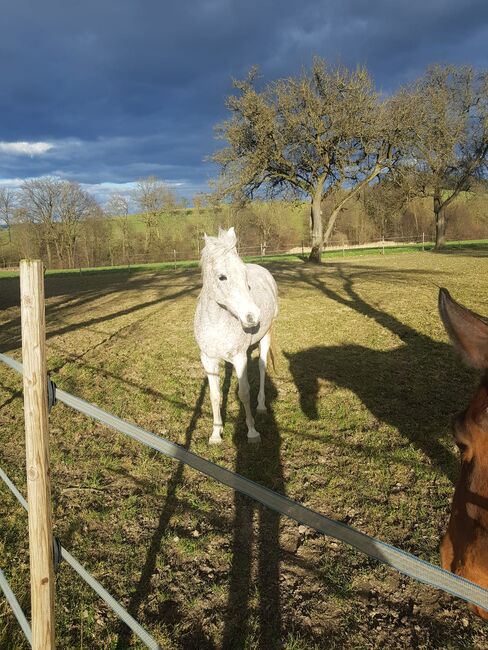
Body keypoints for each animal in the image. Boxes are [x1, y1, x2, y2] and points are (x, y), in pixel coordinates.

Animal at [194, 225, 278, 442]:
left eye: (243, 273)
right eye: (222, 277)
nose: (253, 316)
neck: (216, 323)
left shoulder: (240, 359)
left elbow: (244, 393)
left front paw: (252, 432)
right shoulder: (208, 359)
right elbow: (215, 395)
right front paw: (216, 434)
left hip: (265, 337)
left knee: (262, 368)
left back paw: (262, 406)